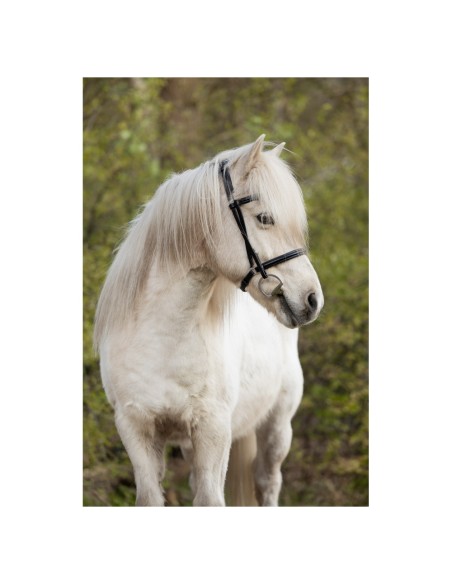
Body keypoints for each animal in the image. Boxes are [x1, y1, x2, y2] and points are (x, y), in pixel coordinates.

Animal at [93, 135, 324, 506]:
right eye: (264, 218)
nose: (313, 299)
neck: (161, 341)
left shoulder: (213, 430)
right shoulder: (136, 428)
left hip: (277, 426)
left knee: (268, 483)